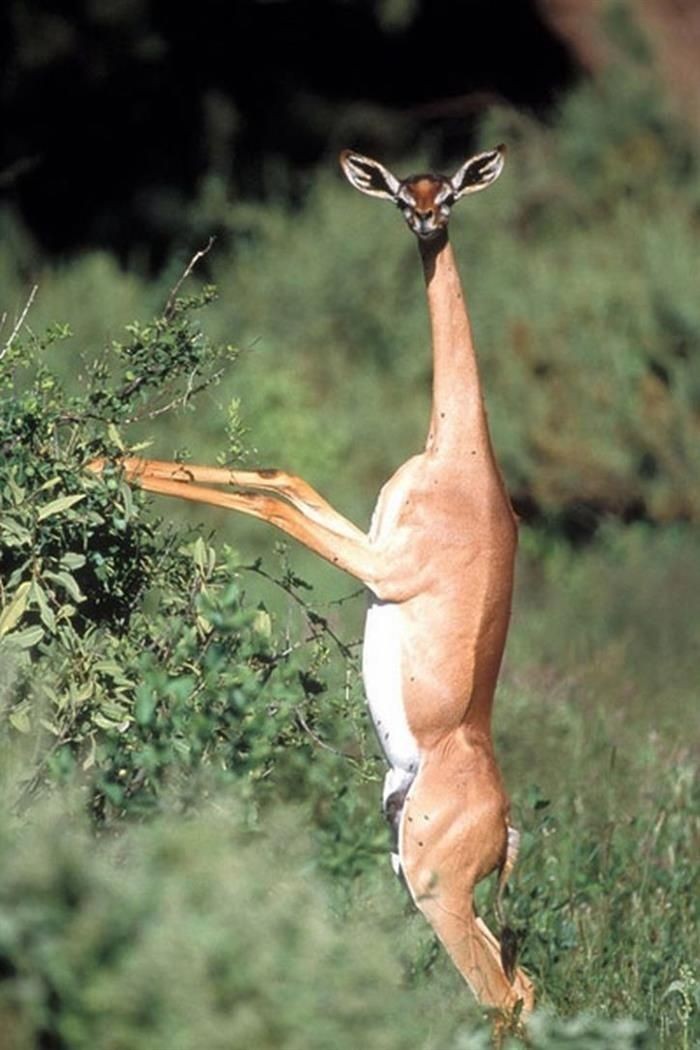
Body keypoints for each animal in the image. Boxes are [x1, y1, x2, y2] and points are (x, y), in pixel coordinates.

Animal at [90, 145, 533, 1016]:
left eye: (451, 190)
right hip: (416, 877)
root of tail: (504, 825)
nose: (424, 219)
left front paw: (101, 463)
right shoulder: (367, 537)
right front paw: (98, 458)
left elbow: (270, 506)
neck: (461, 458)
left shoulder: (383, 566)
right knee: (524, 985)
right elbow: (282, 476)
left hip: (435, 889)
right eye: (401, 188)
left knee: (500, 995)